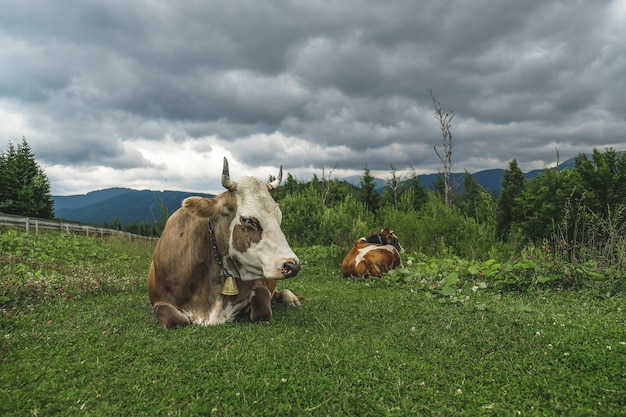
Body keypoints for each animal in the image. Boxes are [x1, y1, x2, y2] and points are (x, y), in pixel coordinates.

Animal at [147, 157, 302, 328]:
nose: (293, 266)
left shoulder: (259, 284)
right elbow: (176, 320)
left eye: (279, 218)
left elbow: (262, 309)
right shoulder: (160, 301)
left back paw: (291, 298)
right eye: (247, 220)